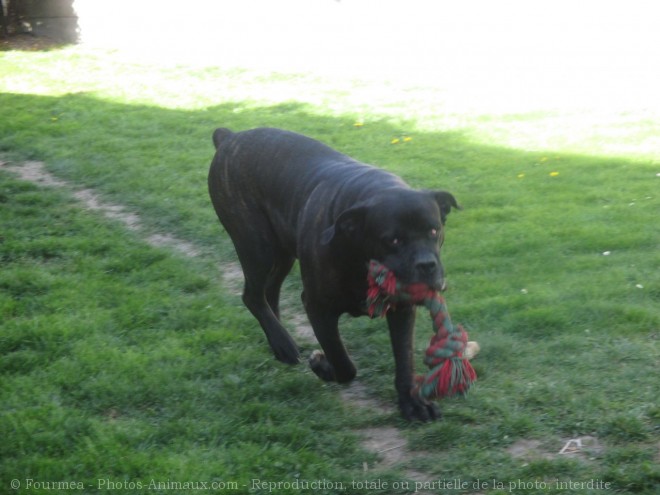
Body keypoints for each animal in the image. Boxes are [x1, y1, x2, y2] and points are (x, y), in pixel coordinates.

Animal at [209, 126, 456, 420]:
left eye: (434, 231)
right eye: (393, 240)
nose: (426, 265)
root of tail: (230, 137)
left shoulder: (402, 309)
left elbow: (404, 359)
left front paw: (412, 403)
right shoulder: (318, 307)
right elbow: (343, 362)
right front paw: (322, 366)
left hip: (283, 252)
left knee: (270, 292)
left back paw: (278, 342)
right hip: (257, 245)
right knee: (253, 295)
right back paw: (283, 343)